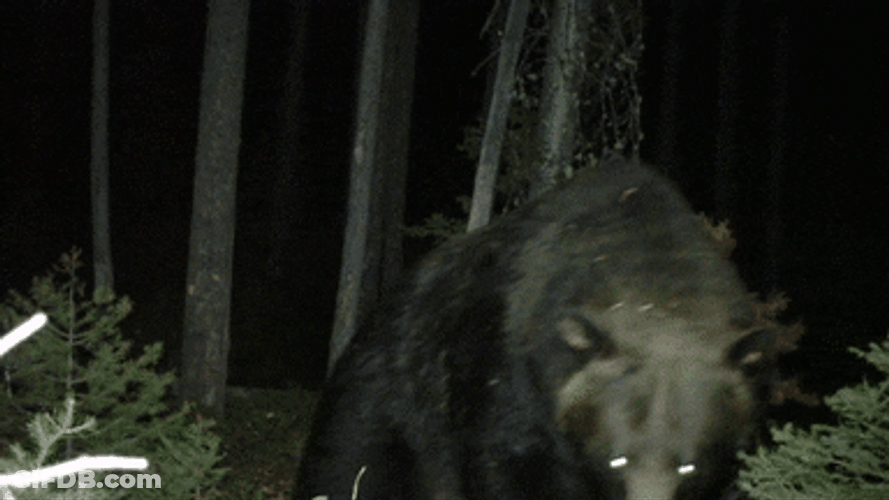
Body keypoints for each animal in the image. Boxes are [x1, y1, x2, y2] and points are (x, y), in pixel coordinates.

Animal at [293, 157, 775, 500]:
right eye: (616, 460)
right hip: (386, 404)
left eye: (690, 466)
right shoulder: (508, 388)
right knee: (350, 466)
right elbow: (507, 468)